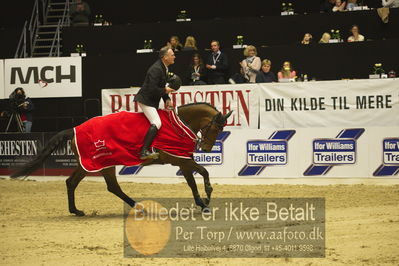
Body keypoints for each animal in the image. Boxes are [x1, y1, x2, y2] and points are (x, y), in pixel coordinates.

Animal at [10, 102, 234, 216]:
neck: (180, 124)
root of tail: (75, 129)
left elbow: (195, 180)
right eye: (216, 128)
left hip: (90, 164)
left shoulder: (183, 161)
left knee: (72, 182)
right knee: (109, 186)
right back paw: (140, 207)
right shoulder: (182, 160)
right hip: (100, 163)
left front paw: (203, 202)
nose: (206, 148)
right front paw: (206, 199)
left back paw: (76, 210)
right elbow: (201, 175)